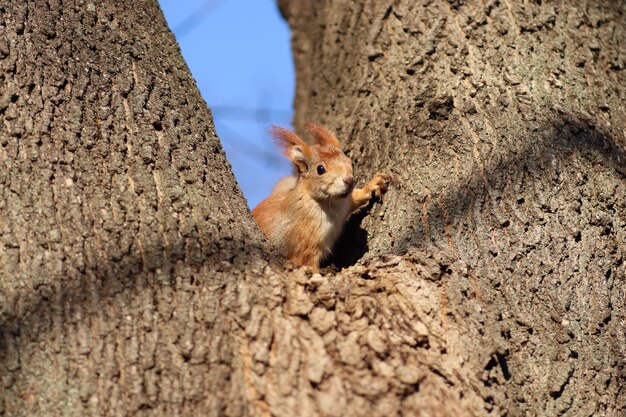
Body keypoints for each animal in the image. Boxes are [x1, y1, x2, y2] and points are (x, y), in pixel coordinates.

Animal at [250, 122, 388, 272]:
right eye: (320, 169)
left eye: (350, 162)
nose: (349, 181)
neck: (329, 203)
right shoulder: (305, 244)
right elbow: (308, 264)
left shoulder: (345, 203)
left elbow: (355, 198)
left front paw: (373, 184)